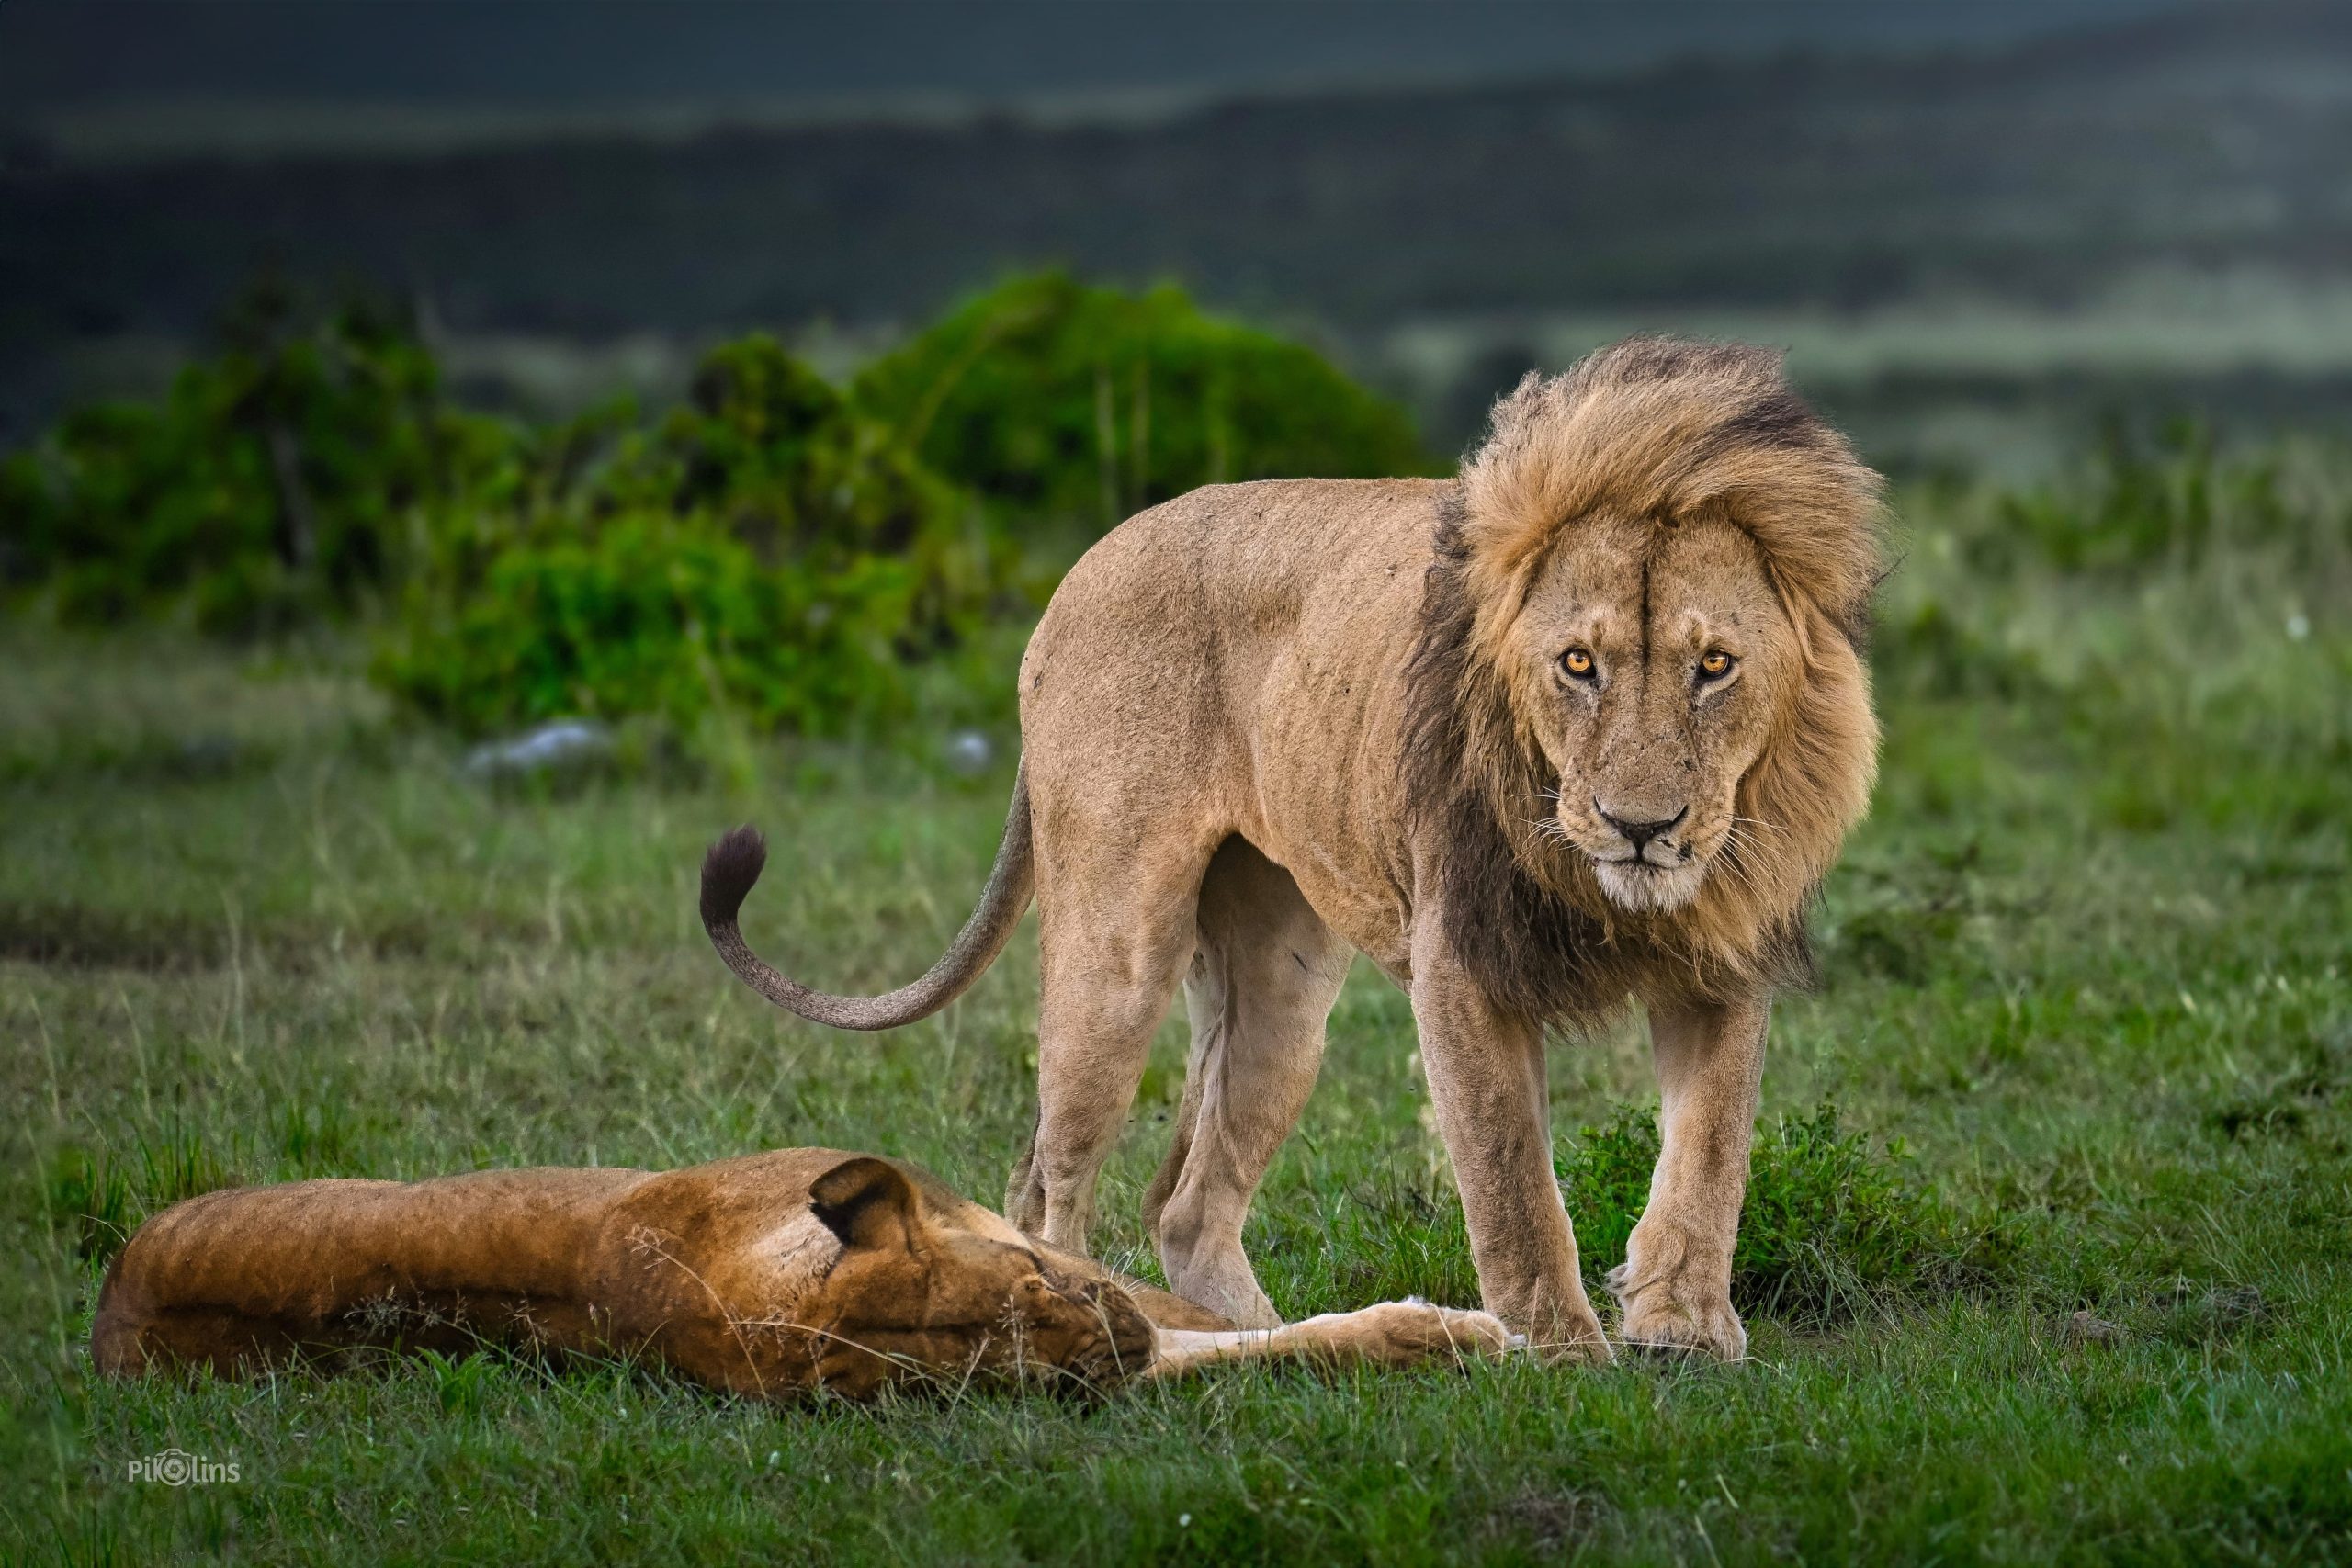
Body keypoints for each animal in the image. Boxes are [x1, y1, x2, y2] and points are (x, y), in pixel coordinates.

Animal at [702, 337, 1882, 1363]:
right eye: (1577, 663)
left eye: (1713, 665)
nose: (1643, 827)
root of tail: (1082, 566)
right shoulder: (1460, 965)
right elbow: (1510, 1177)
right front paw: (1557, 1354)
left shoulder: (1723, 955)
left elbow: (1711, 1154)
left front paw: (1685, 1332)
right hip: (1114, 953)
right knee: (1047, 1185)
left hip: (1280, 989)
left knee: (1185, 1203)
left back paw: (1268, 1340)